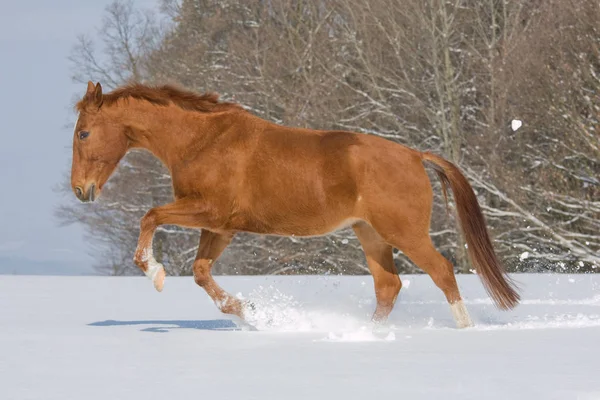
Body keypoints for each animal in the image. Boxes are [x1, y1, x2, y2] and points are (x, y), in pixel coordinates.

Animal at [71, 80, 520, 328]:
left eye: (83, 133)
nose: (80, 190)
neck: (203, 142)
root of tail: (414, 155)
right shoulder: (220, 227)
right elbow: (200, 273)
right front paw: (247, 311)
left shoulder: (209, 212)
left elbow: (150, 218)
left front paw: (156, 274)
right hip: (371, 235)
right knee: (388, 287)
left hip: (403, 232)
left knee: (442, 271)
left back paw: (464, 330)